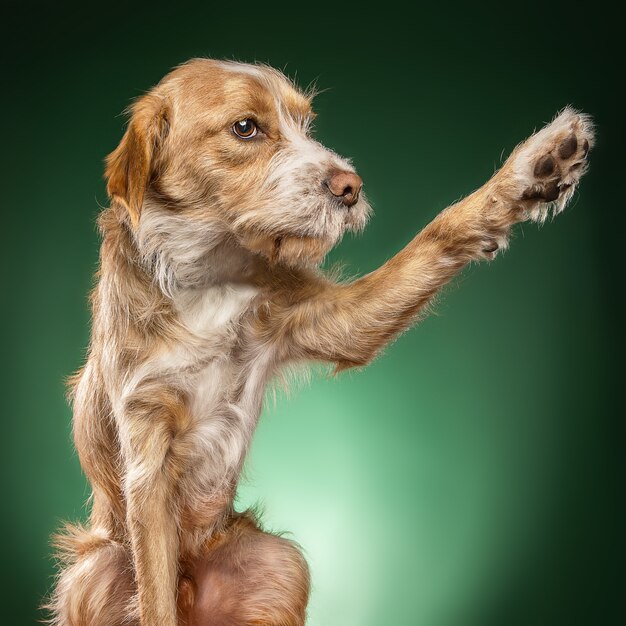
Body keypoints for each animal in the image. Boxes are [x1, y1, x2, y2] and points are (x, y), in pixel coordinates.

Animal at [47, 59, 588, 624]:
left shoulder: (323, 319)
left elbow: (434, 235)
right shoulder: (146, 448)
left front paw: (535, 168)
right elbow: (154, 596)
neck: (208, 275)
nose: (350, 186)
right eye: (246, 128)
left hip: (279, 562)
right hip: (93, 571)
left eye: (306, 125)